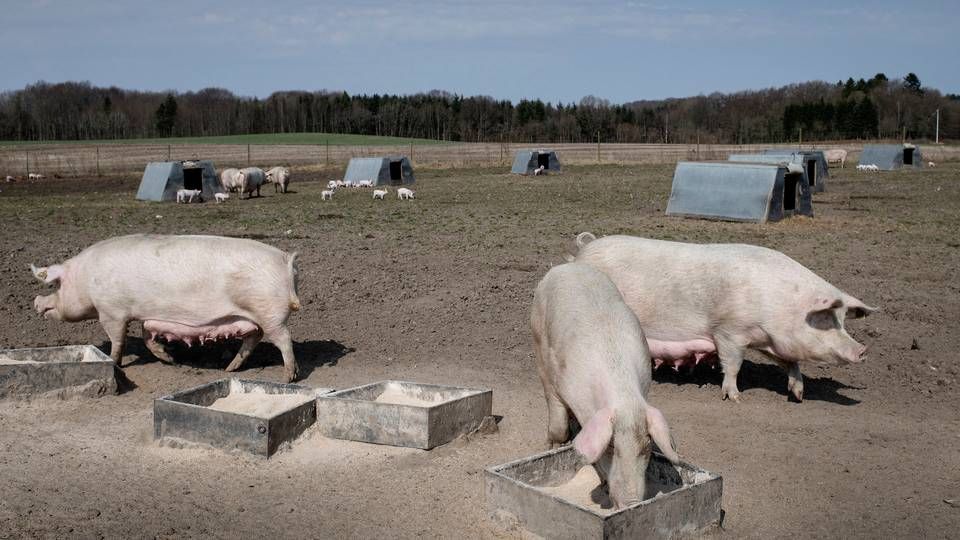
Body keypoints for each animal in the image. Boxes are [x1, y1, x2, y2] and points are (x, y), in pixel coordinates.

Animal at [31, 234, 300, 382]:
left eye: (55, 284)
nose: (36, 302)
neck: (85, 278)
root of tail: (285, 259)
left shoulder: (111, 312)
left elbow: (118, 340)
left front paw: (114, 363)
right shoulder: (149, 317)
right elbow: (147, 337)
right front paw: (170, 359)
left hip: (270, 313)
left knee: (284, 338)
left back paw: (289, 377)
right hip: (256, 319)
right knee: (253, 340)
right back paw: (230, 368)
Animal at [532, 262, 684, 510]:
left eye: (646, 447)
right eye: (612, 446)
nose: (631, 504)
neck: (622, 394)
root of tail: (568, 266)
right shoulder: (555, 381)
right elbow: (558, 422)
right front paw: (552, 447)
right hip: (536, 331)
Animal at [568, 234, 876, 402]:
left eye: (843, 320)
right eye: (825, 319)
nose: (863, 350)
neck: (779, 305)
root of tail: (584, 251)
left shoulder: (767, 340)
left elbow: (791, 363)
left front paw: (798, 395)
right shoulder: (729, 332)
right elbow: (733, 365)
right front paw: (734, 397)